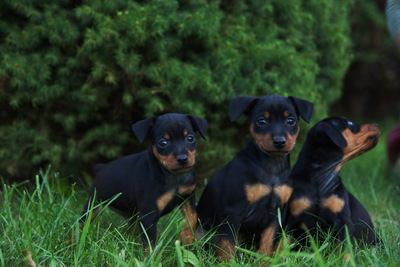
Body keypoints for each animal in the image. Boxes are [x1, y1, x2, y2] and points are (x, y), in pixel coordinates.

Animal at [79, 113, 208, 253]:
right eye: (163, 143)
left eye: (190, 138)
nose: (183, 159)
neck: (172, 176)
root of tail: (101, 168)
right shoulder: (148, 216)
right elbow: (149, 245)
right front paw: (151, 257)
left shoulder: (187, 197)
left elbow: (192, 217)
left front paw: (186, 242)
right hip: (94, 203)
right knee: (81, 222)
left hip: (132, 214)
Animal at [195, 94, 314, 262]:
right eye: (261, 121)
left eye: (290, 121)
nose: (279, 141)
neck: (271, 167)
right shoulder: (234, 211)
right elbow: (227, 246)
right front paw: (227, 264)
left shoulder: (276, 215)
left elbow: (267, 246)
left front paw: (263, 263)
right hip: (201, 231)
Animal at [286, 117, 380, 247]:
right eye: (350, 123)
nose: (377, 124)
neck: (320, 178)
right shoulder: (293, 219)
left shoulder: (342, 221)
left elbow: (344, 248)